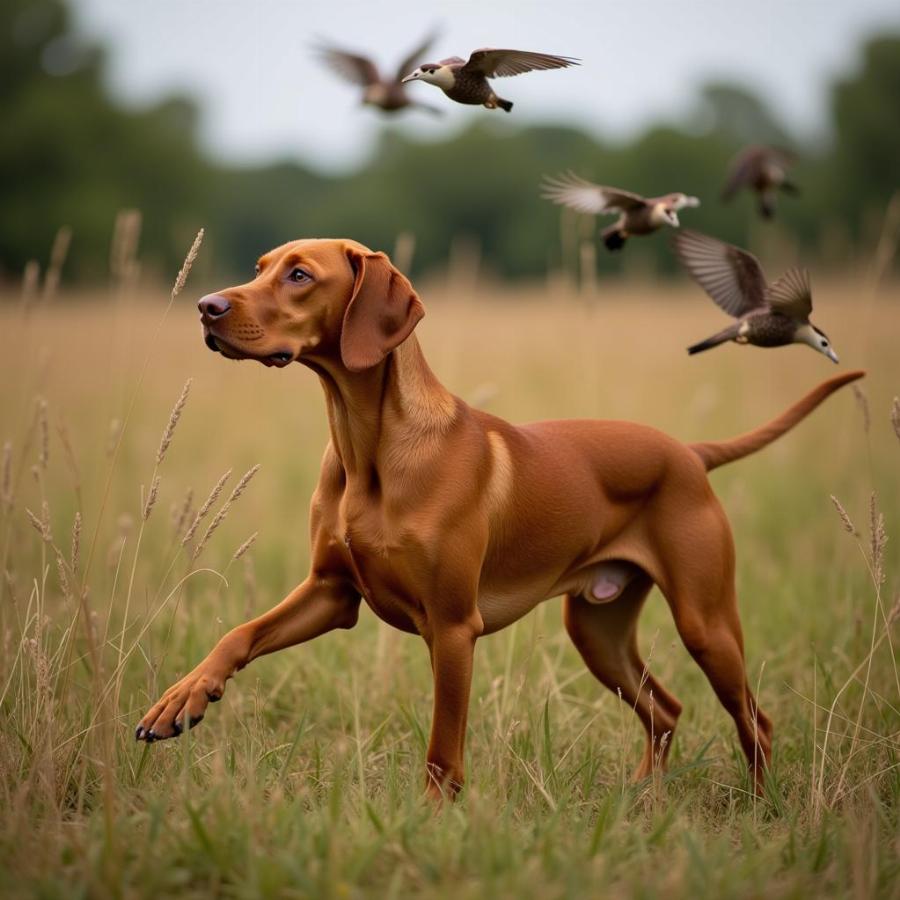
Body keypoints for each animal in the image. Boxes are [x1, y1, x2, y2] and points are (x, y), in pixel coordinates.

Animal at [137, 237, 860, 796]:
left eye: (299, 274)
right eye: (260, 266)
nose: (206, 306)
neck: (368, 452)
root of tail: (687, 451)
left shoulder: (455, 627)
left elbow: (442, 751)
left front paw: (432, 823)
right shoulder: (331, 593)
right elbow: (237, 635)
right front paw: (181, 699)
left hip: (705, 623)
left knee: (753, 720)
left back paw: (762, 807)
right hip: (596, 631)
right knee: (666, 710)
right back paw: (641, 800)